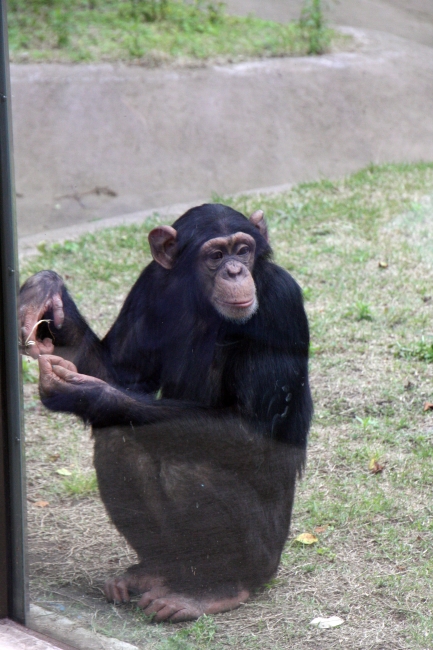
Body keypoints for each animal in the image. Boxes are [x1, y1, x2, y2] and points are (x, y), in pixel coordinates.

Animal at [19, 202, 310, 616]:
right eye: (215, 256)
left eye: (243, 250)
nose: (235, 271)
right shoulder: (150, 284)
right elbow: (121, 373)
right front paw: (45, 293)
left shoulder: (279, 304)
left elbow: (255, 433)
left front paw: (90, 395)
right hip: (179, 557)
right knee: (120, 441)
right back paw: (155, 570)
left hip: (267, 555)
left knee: (187, 471)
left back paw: (215, 588)